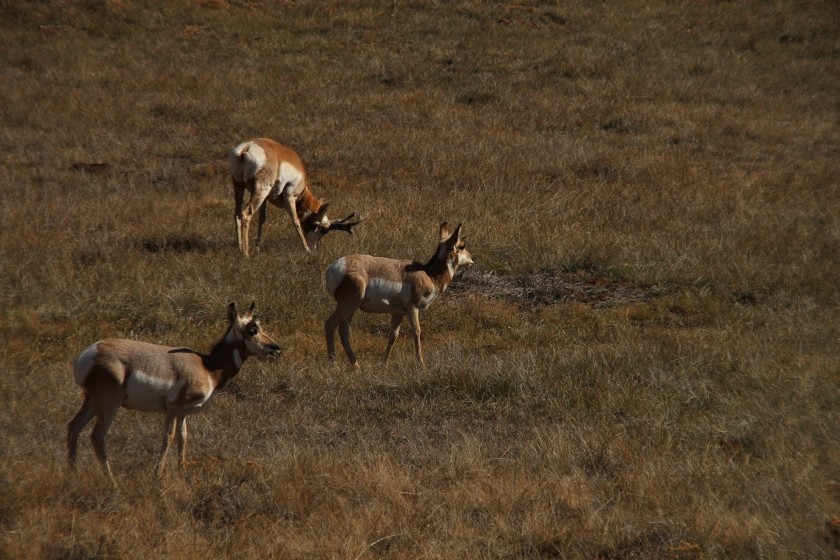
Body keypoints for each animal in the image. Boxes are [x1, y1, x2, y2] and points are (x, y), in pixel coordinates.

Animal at [65, 302, 280, 482]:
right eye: (253, 330)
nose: (276, 347)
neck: (207, 367)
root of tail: (88, 354)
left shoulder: (184, 413)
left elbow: (183, 438)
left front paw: (183, 473)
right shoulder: (173, 409)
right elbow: (168, 437)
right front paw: (157, 475)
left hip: (93, 401)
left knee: (73, 427)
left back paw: (73, 473)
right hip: (110, 404)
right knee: (97, 436)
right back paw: (112, 481)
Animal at [230, 138, 360, 256]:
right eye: (317, 226)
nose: (314, 248)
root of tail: (246, 148)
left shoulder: (266, 199)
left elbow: (262, 219)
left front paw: (257, 247)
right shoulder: (290, 196)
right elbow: (296, 220)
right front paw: (306, 250)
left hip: (240, 187)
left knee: (237, 214)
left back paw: (240, 248)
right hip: (260, 191)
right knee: (246, 213)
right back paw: (246, 254)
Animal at [324, 223, 476, 368]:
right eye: (462, 245)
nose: (472, 259)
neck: (429, 274)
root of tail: (333, 268)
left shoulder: (398, 313)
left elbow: (393, 335)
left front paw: (384, 363)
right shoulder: (412, 308)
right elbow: (417, 331)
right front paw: (421, 364)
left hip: (351, 308)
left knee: (344, 331)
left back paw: (355, 365)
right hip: (348, 304)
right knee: (330, 325)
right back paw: (332, 364)